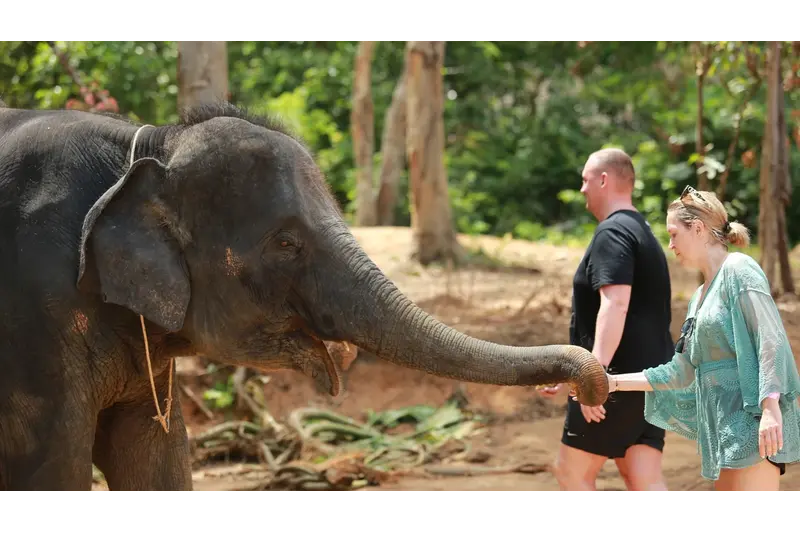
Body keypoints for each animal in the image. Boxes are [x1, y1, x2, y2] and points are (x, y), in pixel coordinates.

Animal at [0, 100, 608, 493]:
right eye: (286, 243)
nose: (592, 380)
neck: (146, 147)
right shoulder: (35, 320)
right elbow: (56, 469)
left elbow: (155, 458)